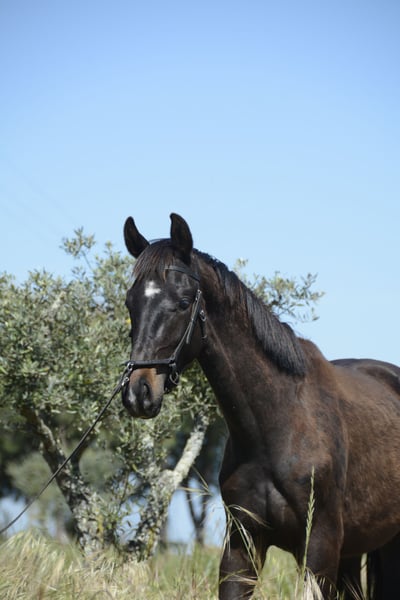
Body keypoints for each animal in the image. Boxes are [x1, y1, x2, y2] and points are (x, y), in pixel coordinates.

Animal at [121, 213, 400, 599]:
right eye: (131, 303)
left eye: (183, 301)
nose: (139, 392)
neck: (278, 424)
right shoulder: (242, 546)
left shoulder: (319, 548)